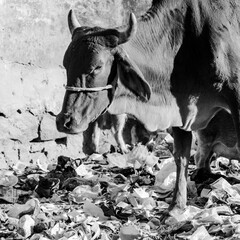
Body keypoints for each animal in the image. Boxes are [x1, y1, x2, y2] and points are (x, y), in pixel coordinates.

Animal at [56, 0, 240, 212]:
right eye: (66, 64)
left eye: (97, 67)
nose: (64, 121)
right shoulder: (179, 108)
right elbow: (181, 157)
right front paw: (176, 206)